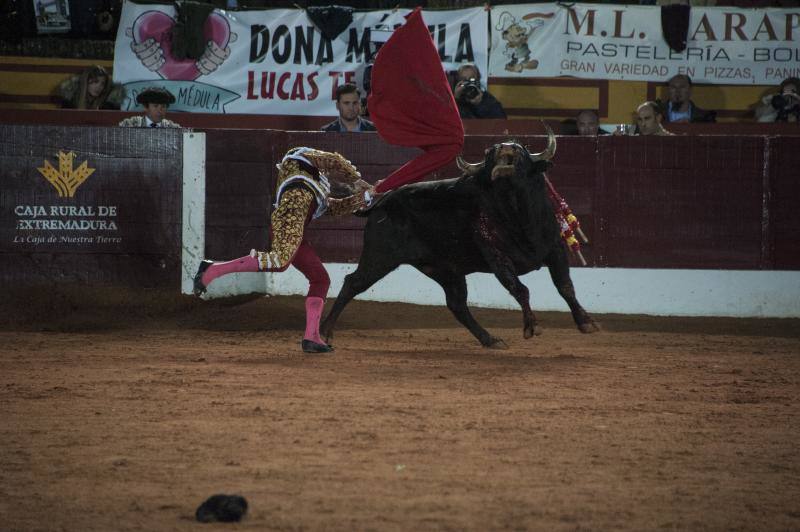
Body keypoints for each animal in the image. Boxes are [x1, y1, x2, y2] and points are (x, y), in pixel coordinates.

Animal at [322, 132, 596, 350]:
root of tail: (381, 202)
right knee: (353, 283)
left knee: (456, 304)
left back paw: (490, 339)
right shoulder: (497, 258)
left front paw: (586, 323)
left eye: (523, 148)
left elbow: (565, 286)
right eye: (489, 152)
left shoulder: (555, 249)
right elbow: (520, 289)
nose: (505, 146)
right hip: (380, 256)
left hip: (445, 269)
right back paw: (325, 332)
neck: (518, 215)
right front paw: (531, 327)